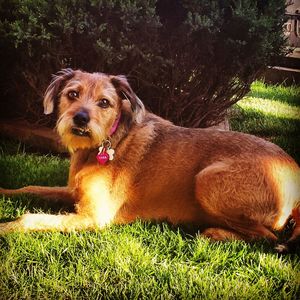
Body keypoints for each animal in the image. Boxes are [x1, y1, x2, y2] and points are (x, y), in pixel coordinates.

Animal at [0, 68, 300, 251]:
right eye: (72, 94)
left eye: (105, 103)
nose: (81, 119)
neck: (106, 143)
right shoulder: (73, 192)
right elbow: (30, 188)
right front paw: (4, 191)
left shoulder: (94, 216)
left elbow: (29, 218)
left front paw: (6, 227)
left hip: (207, 179)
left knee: (267, 236)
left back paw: (216, 233)